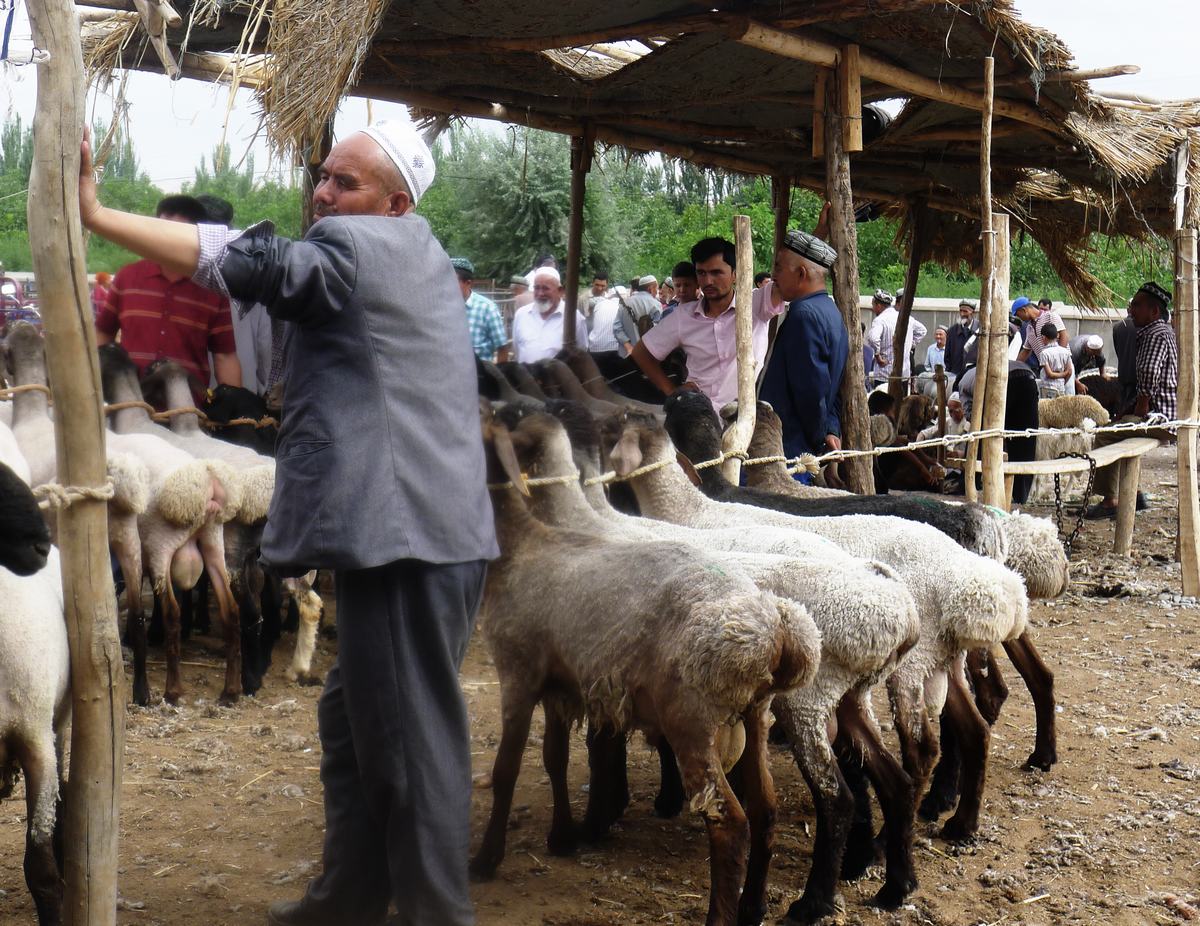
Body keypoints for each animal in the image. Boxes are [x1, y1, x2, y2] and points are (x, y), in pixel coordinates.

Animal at [472, 410, 820, 926]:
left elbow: (505, 770)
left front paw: (485, 859)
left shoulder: (518, 672)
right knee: (766, 809)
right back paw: (754, 906)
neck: (524, 545)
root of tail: (778, 629)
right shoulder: (561, 686)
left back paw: (722, 916)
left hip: (692, 717)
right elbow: (554, 758)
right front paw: (562, 838)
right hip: (755, 715)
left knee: (730, 823)